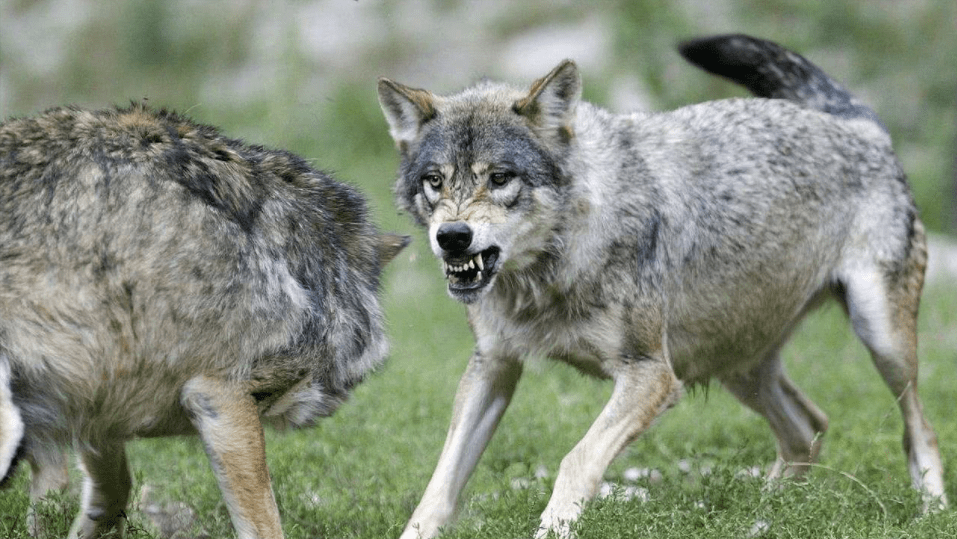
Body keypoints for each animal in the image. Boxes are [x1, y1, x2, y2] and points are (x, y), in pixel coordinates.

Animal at [378, 34, 944, 539]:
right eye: (435, 180)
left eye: (499, 178)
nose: (452, 237)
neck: (554, 268)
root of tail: (858, 123)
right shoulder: (493, 366)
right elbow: (439, 486)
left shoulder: (651, 375)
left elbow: (575, 460)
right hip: (733, 367)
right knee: (809, 428)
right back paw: (764, 515)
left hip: (880, 341)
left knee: (920, 431)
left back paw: (931, 511)